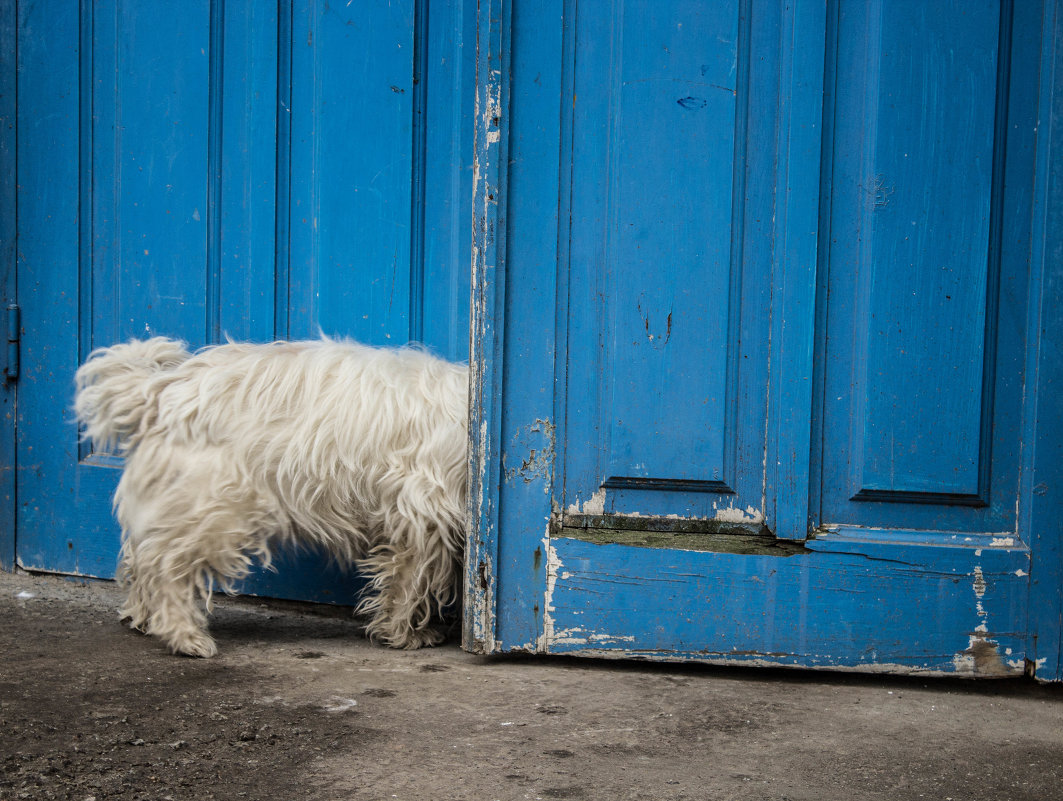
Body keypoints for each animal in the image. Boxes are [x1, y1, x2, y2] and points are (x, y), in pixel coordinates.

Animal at [74, 337, 469, 654]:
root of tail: (163, 388)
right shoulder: (424, 513)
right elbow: (412, 578)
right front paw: (403, 633)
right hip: (219, 510)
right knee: (165, 563)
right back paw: (184, 636)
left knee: (140, 556)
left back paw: (144, 618)